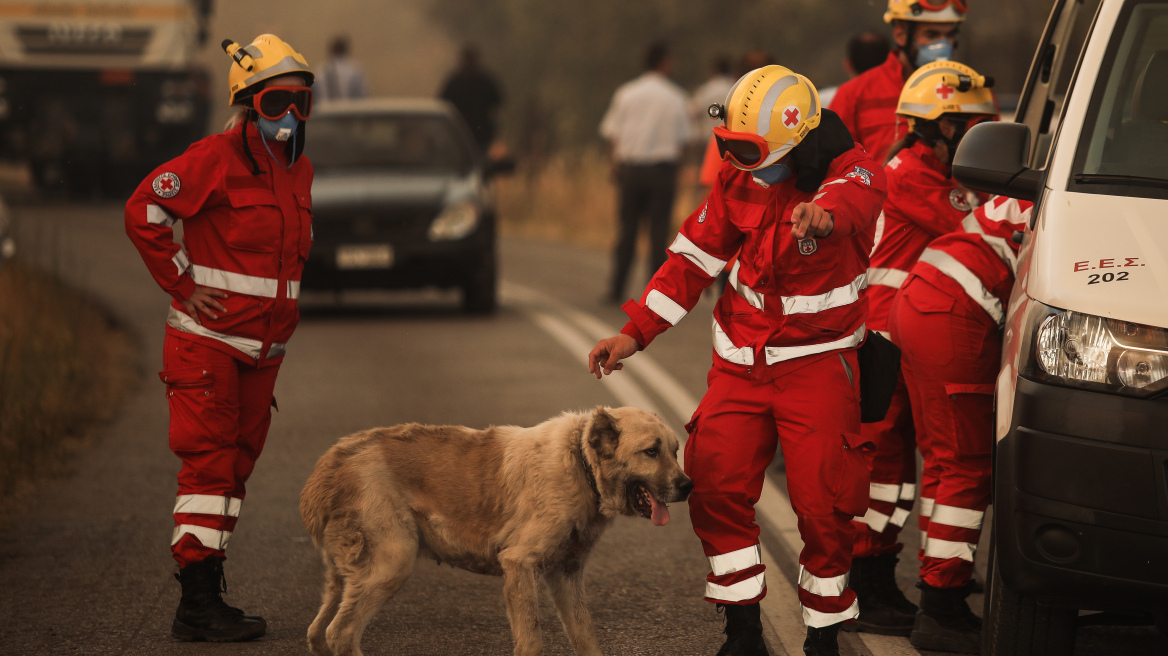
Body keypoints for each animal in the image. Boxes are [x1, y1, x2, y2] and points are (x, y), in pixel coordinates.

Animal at [301, 406, 691, 648]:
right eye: (651, 451)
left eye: (675, 450)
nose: (688, 486)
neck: (579, 463)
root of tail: (330, 463)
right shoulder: (520, 564)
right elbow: (531, 639)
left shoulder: (566, 575)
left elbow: (586, 638)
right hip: (391, 564)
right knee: (341, 633)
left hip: (348, 576)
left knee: (318, 632)